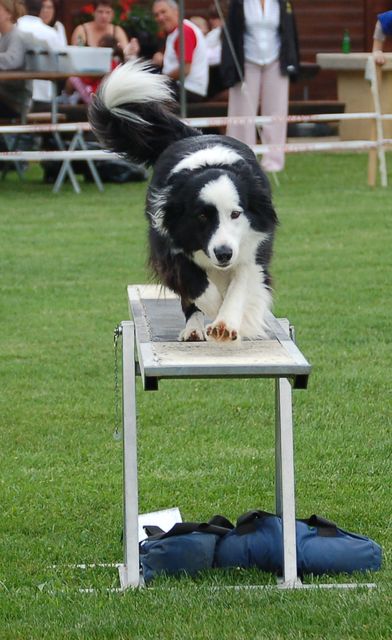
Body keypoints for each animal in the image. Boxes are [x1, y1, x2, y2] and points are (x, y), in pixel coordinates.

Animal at [90, 60, 278, 342]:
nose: (223, 254)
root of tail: (192, 134)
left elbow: (242, 282)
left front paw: (227, 322)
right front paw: (214, 308)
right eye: (202, 216)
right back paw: (193, 328)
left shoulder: (254, 244)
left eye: (236, 214)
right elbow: (194, 284)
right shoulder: (166, 242)